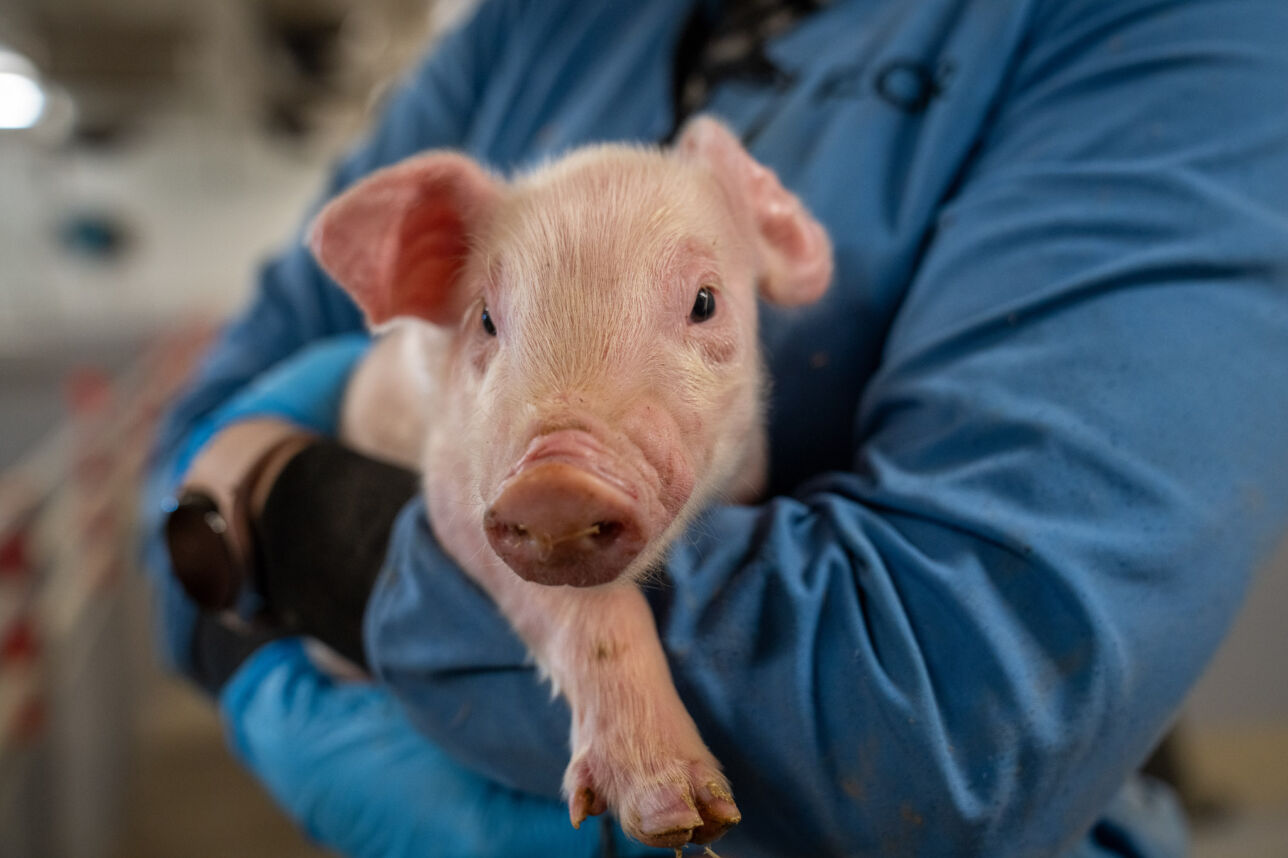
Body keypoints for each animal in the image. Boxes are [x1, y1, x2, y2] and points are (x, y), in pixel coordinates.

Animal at [310, 116, 833, 849]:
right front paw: (678, 817)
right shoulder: (456, 487)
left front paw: (700, 821)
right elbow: (579, 609)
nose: (555, 481)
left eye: (705, 302)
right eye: (486, 319)